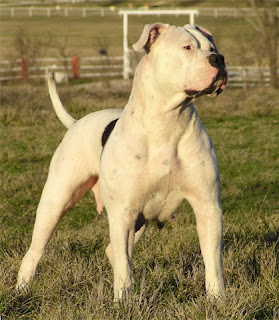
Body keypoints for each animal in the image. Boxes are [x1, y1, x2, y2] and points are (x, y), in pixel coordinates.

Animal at [17, 23, 228, 302]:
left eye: (212, 47)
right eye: (187, 47)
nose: (219, 59)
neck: (168, 122)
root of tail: (76, 122)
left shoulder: (208, 207)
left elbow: (213, 262)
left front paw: (218, 299)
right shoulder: (122, 212)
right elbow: (124, 267)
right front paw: (123, 302)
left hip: (137, 221)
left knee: (113, 251)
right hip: (56, 202)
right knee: (36, 250)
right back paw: (22, 287)